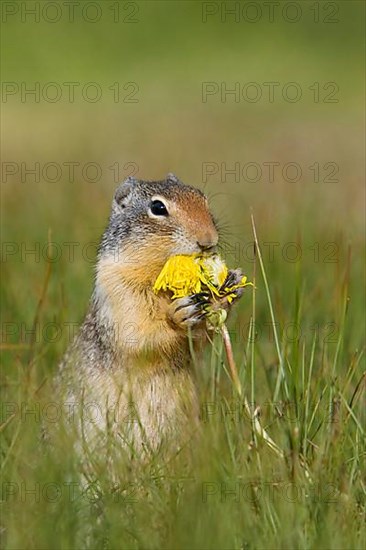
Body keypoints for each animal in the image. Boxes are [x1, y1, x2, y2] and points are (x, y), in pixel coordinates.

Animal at [58, 175, 244, 454]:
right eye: (158, 208)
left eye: (203, 198)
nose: (208, 240)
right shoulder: (119, 291)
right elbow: (140, 336)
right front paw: (179, 314)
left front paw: (228, 287)